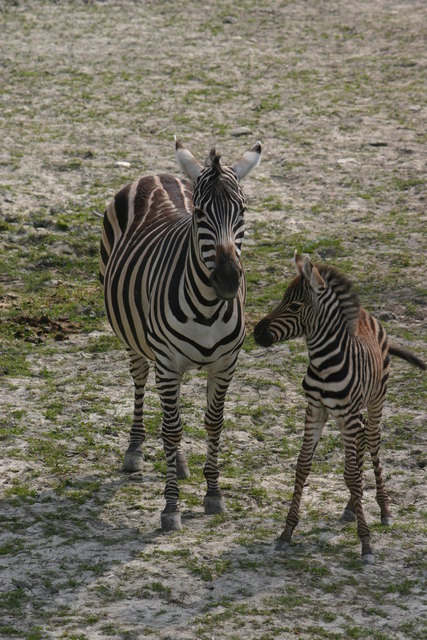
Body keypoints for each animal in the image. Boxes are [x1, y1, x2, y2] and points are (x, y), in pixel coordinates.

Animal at [101, 138, 260, 532]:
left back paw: (181, 461)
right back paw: (135, 450)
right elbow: (171, 430)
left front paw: (213, 493)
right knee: (141, 382)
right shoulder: (168, 363)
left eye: (242, 211)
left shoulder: (225, 364)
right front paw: (171, 507)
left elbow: (213, 424)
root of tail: (156, 175)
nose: (228, 280)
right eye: (200, 214)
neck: (207, 308)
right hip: (140, 345)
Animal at [254, 252, 424, 564]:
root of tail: (368, 313)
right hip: (353, 414)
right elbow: (303, 466)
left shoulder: (346, 414)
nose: (257, 333)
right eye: (282, 299)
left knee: (372, 441)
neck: (324, 363)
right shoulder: (315, 410)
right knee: (360, 442)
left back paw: (383, 509)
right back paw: (350, 506)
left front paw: (366, 543)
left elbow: (353, 475)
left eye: (294, 305)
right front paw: (287, 532)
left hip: (375, 400)